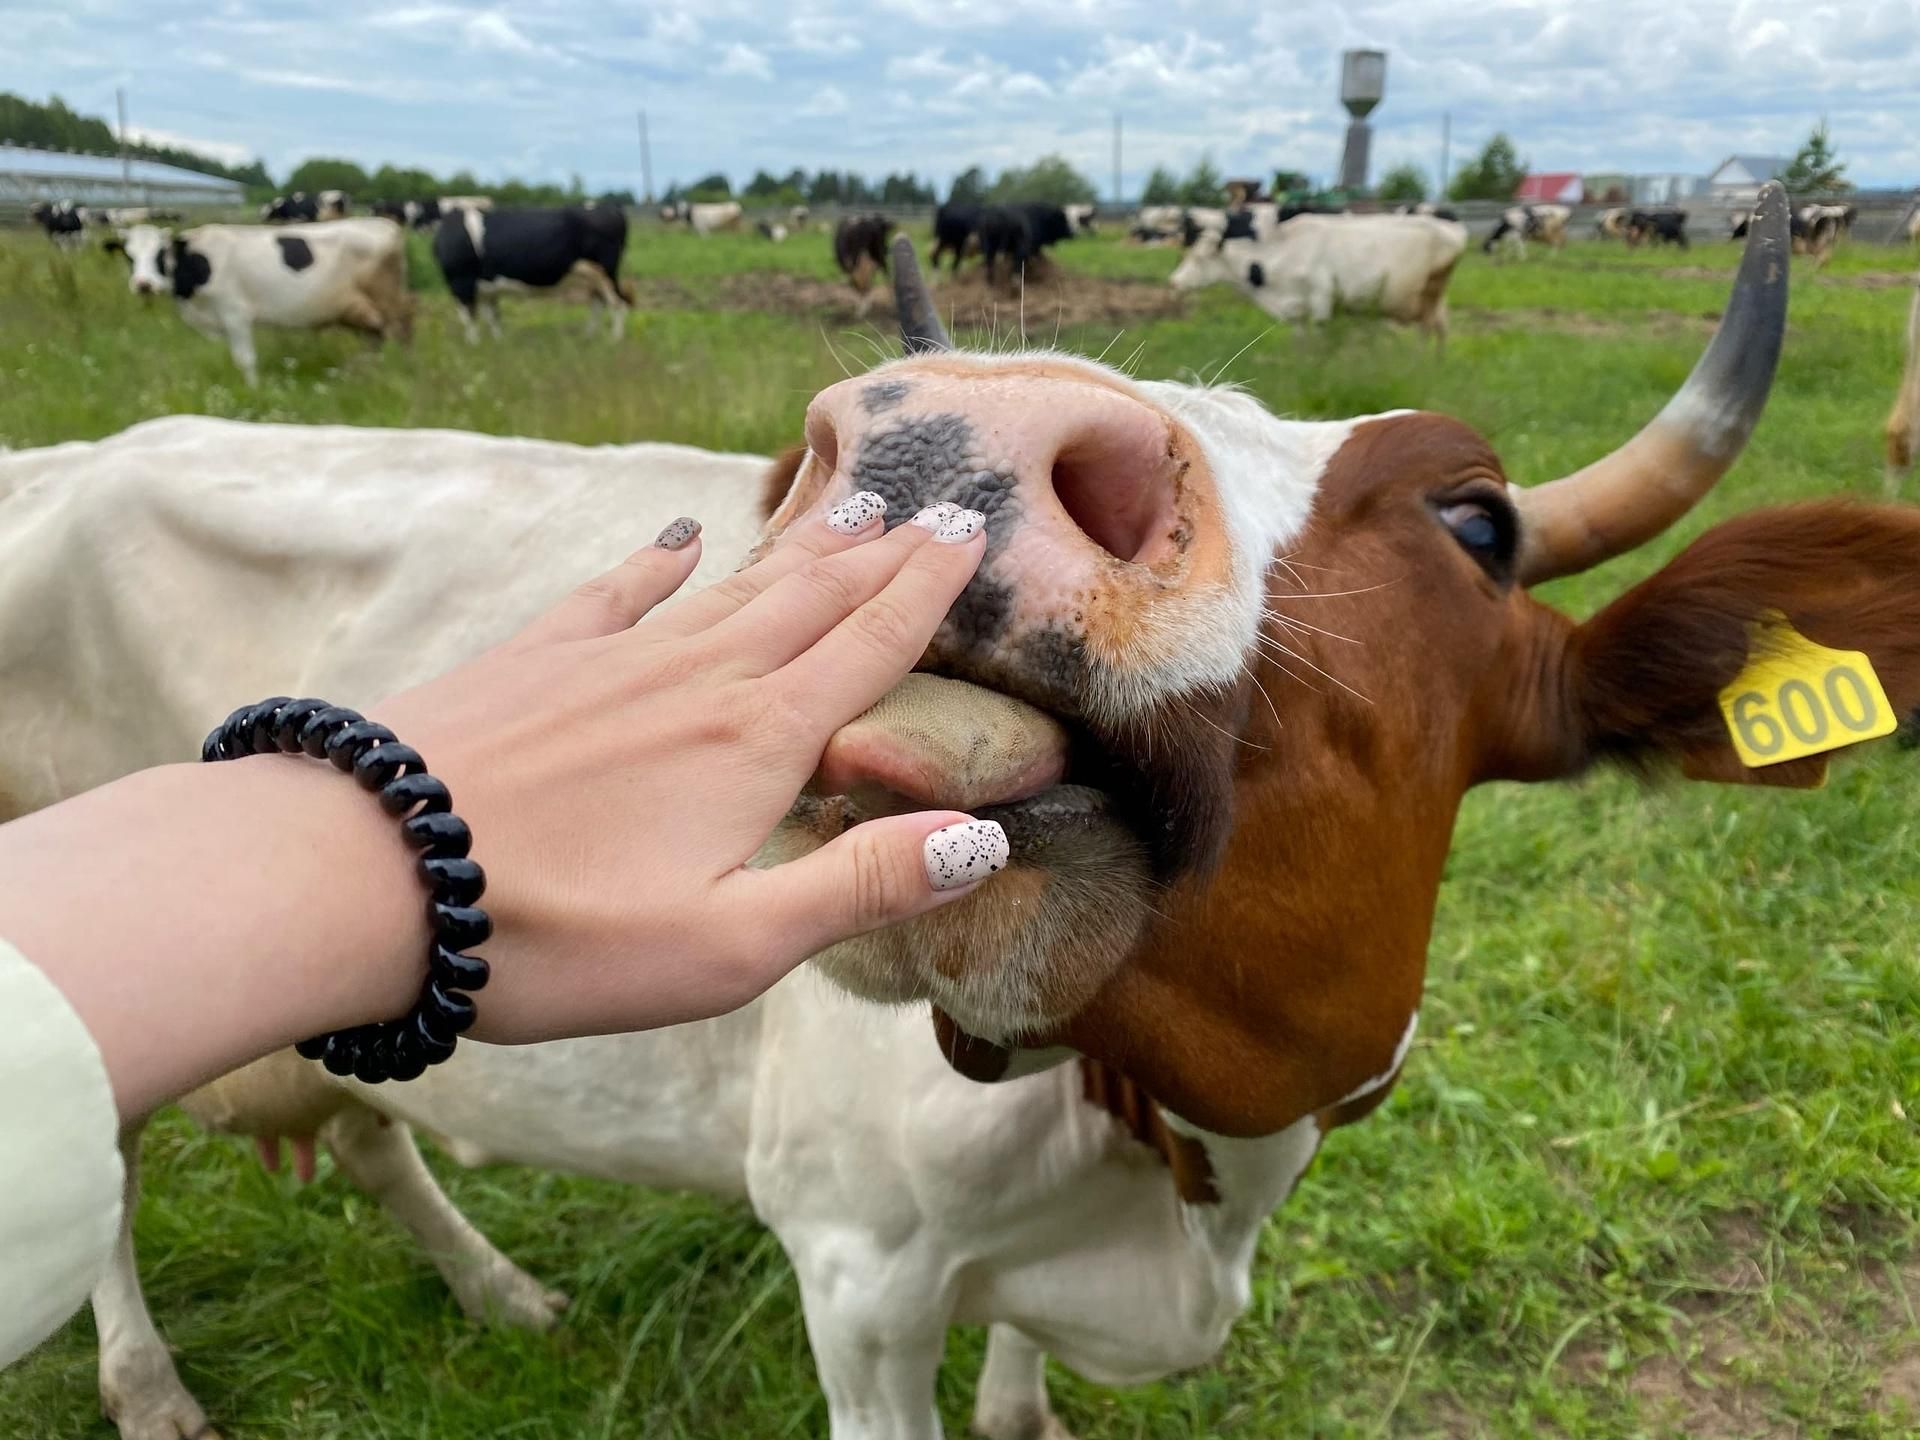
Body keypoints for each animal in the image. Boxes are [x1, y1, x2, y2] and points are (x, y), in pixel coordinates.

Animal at [105, 218, 412, 385]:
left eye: (160, 253)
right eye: (129, 256)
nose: (143, 284)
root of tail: (383, 224)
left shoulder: (235, 313)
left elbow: (245, 360)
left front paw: (253, 389)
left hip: (388, 301)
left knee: (401, 334)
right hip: (361, 311)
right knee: (374, 340)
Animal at [430, 204, 633, 341]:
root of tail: (609, 209)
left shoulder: (461, 283)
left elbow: (469, 319)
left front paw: (474, 347)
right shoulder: (487, 289)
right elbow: (493, 317)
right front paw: (497, 344)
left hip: (606, 271)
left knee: (618, 303)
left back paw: (614, 341)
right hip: (593, 276)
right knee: (598, 303)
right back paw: (589, 338)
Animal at [1167, 211, 1466, 343]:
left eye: (1198, 257)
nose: (1174, 281)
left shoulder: (1322, 297)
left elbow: (1320, 338)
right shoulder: (1296, 308)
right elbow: (1300, 339)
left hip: (1430, 295)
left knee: (1428, 332)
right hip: (1436, 301)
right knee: (1442, 329)